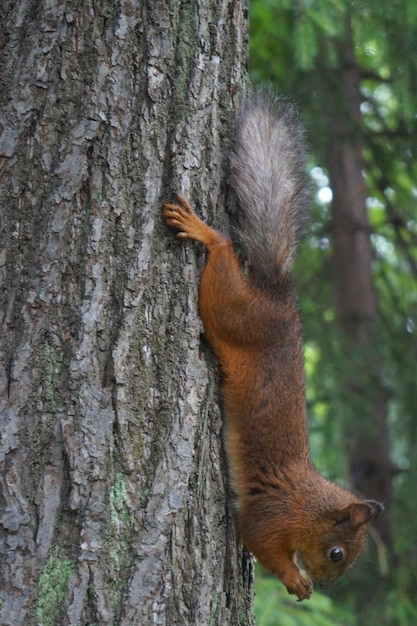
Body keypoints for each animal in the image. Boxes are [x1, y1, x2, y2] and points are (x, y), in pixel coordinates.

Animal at [161, 89, 382, 600]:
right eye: (337, 553)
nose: (326, 585)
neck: (309, 504)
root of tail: (276, 292)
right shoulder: (274, 514)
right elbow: (257, 538)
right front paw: (295, 578)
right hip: (230, 312)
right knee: (223, 254)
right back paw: (203, 230)